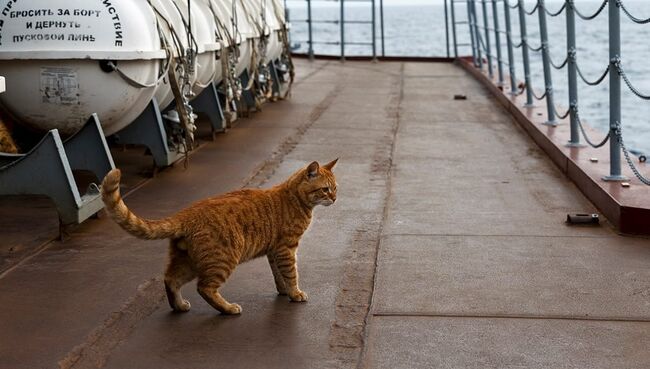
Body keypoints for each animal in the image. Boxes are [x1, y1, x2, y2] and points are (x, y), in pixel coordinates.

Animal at [100, 158, 340, 314]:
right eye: (325, 189)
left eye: (336, 188)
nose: (335, 199)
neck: (294, 198)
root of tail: (186, 213)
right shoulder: (286, 248)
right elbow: (291, 273)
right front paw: (295, 293)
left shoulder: (274, 251)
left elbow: (278, 275)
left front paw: (284, 292)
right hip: (223, 259)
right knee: (204, 288)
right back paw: (228, 308)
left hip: (188, 261)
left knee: (170, 279)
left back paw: (179, 306)